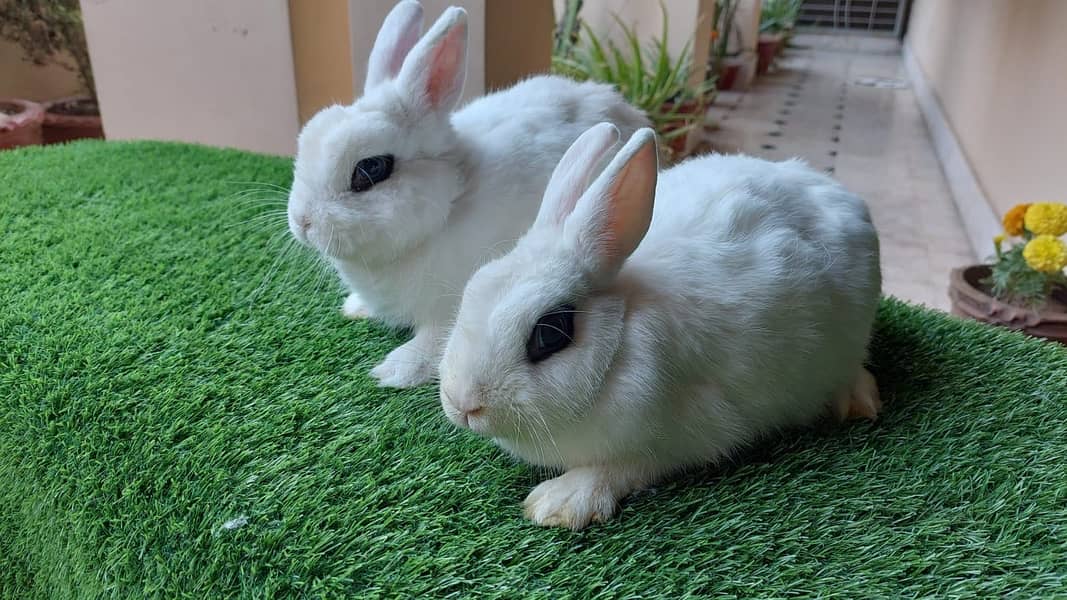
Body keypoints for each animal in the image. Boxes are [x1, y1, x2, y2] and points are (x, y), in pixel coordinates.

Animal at [286, 1, 650, 388]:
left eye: (370, 169)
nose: (302, 222)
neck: (449, 207)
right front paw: (355, 308)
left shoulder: (452, 305)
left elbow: (435, 339)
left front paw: (395, 371)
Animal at [438, 123, 883, 529]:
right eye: (471, 290)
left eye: (549, 334)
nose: (463, 404)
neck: (621, 337)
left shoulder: (682, 439)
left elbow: (620, 468)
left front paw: (559, 502)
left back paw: (858, 402)